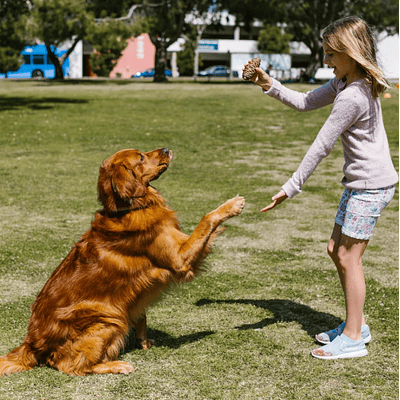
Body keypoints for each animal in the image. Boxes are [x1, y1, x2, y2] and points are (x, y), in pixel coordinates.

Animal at [0, 147, 245, 376]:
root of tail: (30, 345)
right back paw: (115, 365)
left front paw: (143, 341)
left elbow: (141, 314)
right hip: (107, 318)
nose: (166, 149)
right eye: (141, 157)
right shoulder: (179, 258)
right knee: (69, 365)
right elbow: (206, 219)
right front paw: (231, 205)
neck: (129, 207)